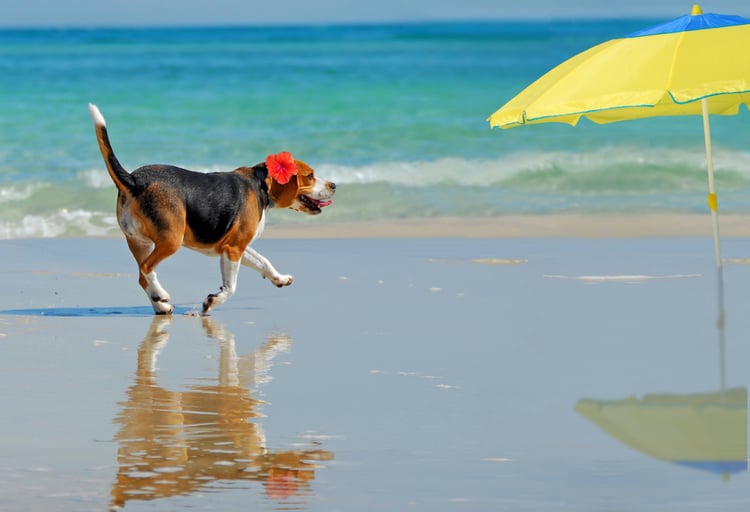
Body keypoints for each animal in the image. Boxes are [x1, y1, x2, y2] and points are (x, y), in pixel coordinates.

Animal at [88, 104, 334, 314]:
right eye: (310, 176)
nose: (334, 185)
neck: (261, 182)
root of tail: (134, 180)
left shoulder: (235, 245)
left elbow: (263, 261)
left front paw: (279, 278)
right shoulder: (233, 249)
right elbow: (231, 287)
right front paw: (213, 301)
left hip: (139, 243)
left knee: (142, 274)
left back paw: (161, 305)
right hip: (171, 240)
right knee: (146, 269)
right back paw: (161, 295)